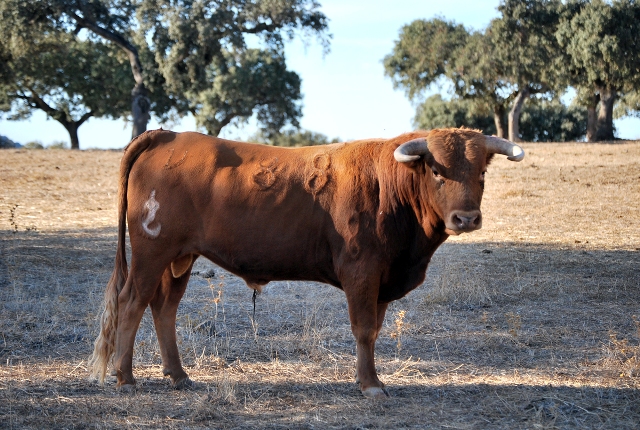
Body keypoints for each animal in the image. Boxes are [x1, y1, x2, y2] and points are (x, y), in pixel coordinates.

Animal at [87, 127, 524, 400]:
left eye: (482, 171)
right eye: (436, 170)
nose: (466, 218)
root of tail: (171, 136)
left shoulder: (383, 280)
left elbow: (375, 330)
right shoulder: (361, 271)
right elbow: (364, 330)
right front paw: (370, 385)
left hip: (178, 258)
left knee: (164, 309)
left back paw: (178, 376)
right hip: (151, 254)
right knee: (132, 304)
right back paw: (126, 379)